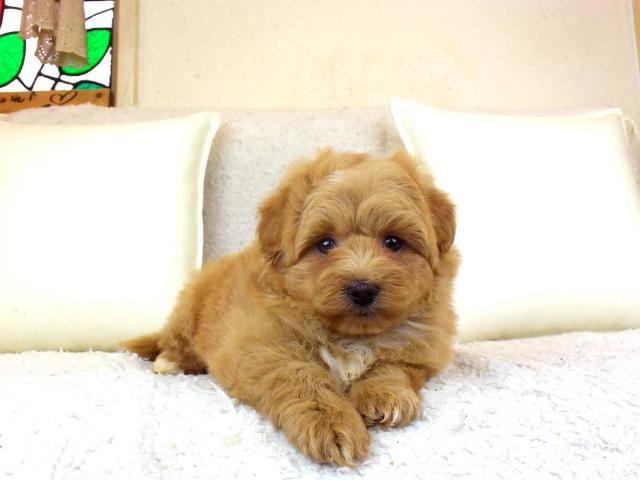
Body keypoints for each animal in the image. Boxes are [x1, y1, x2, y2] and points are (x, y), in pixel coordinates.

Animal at [122, 148, 459, 466]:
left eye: (393, 242)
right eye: (325, 244)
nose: (362, 289)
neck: (350, 336)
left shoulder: (422, 349)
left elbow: (393, 365)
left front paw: (385, 395)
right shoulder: (263, 347)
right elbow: (301, 377)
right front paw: (330, 423)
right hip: (190, 309)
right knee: (174, 341)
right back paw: (169, 361)